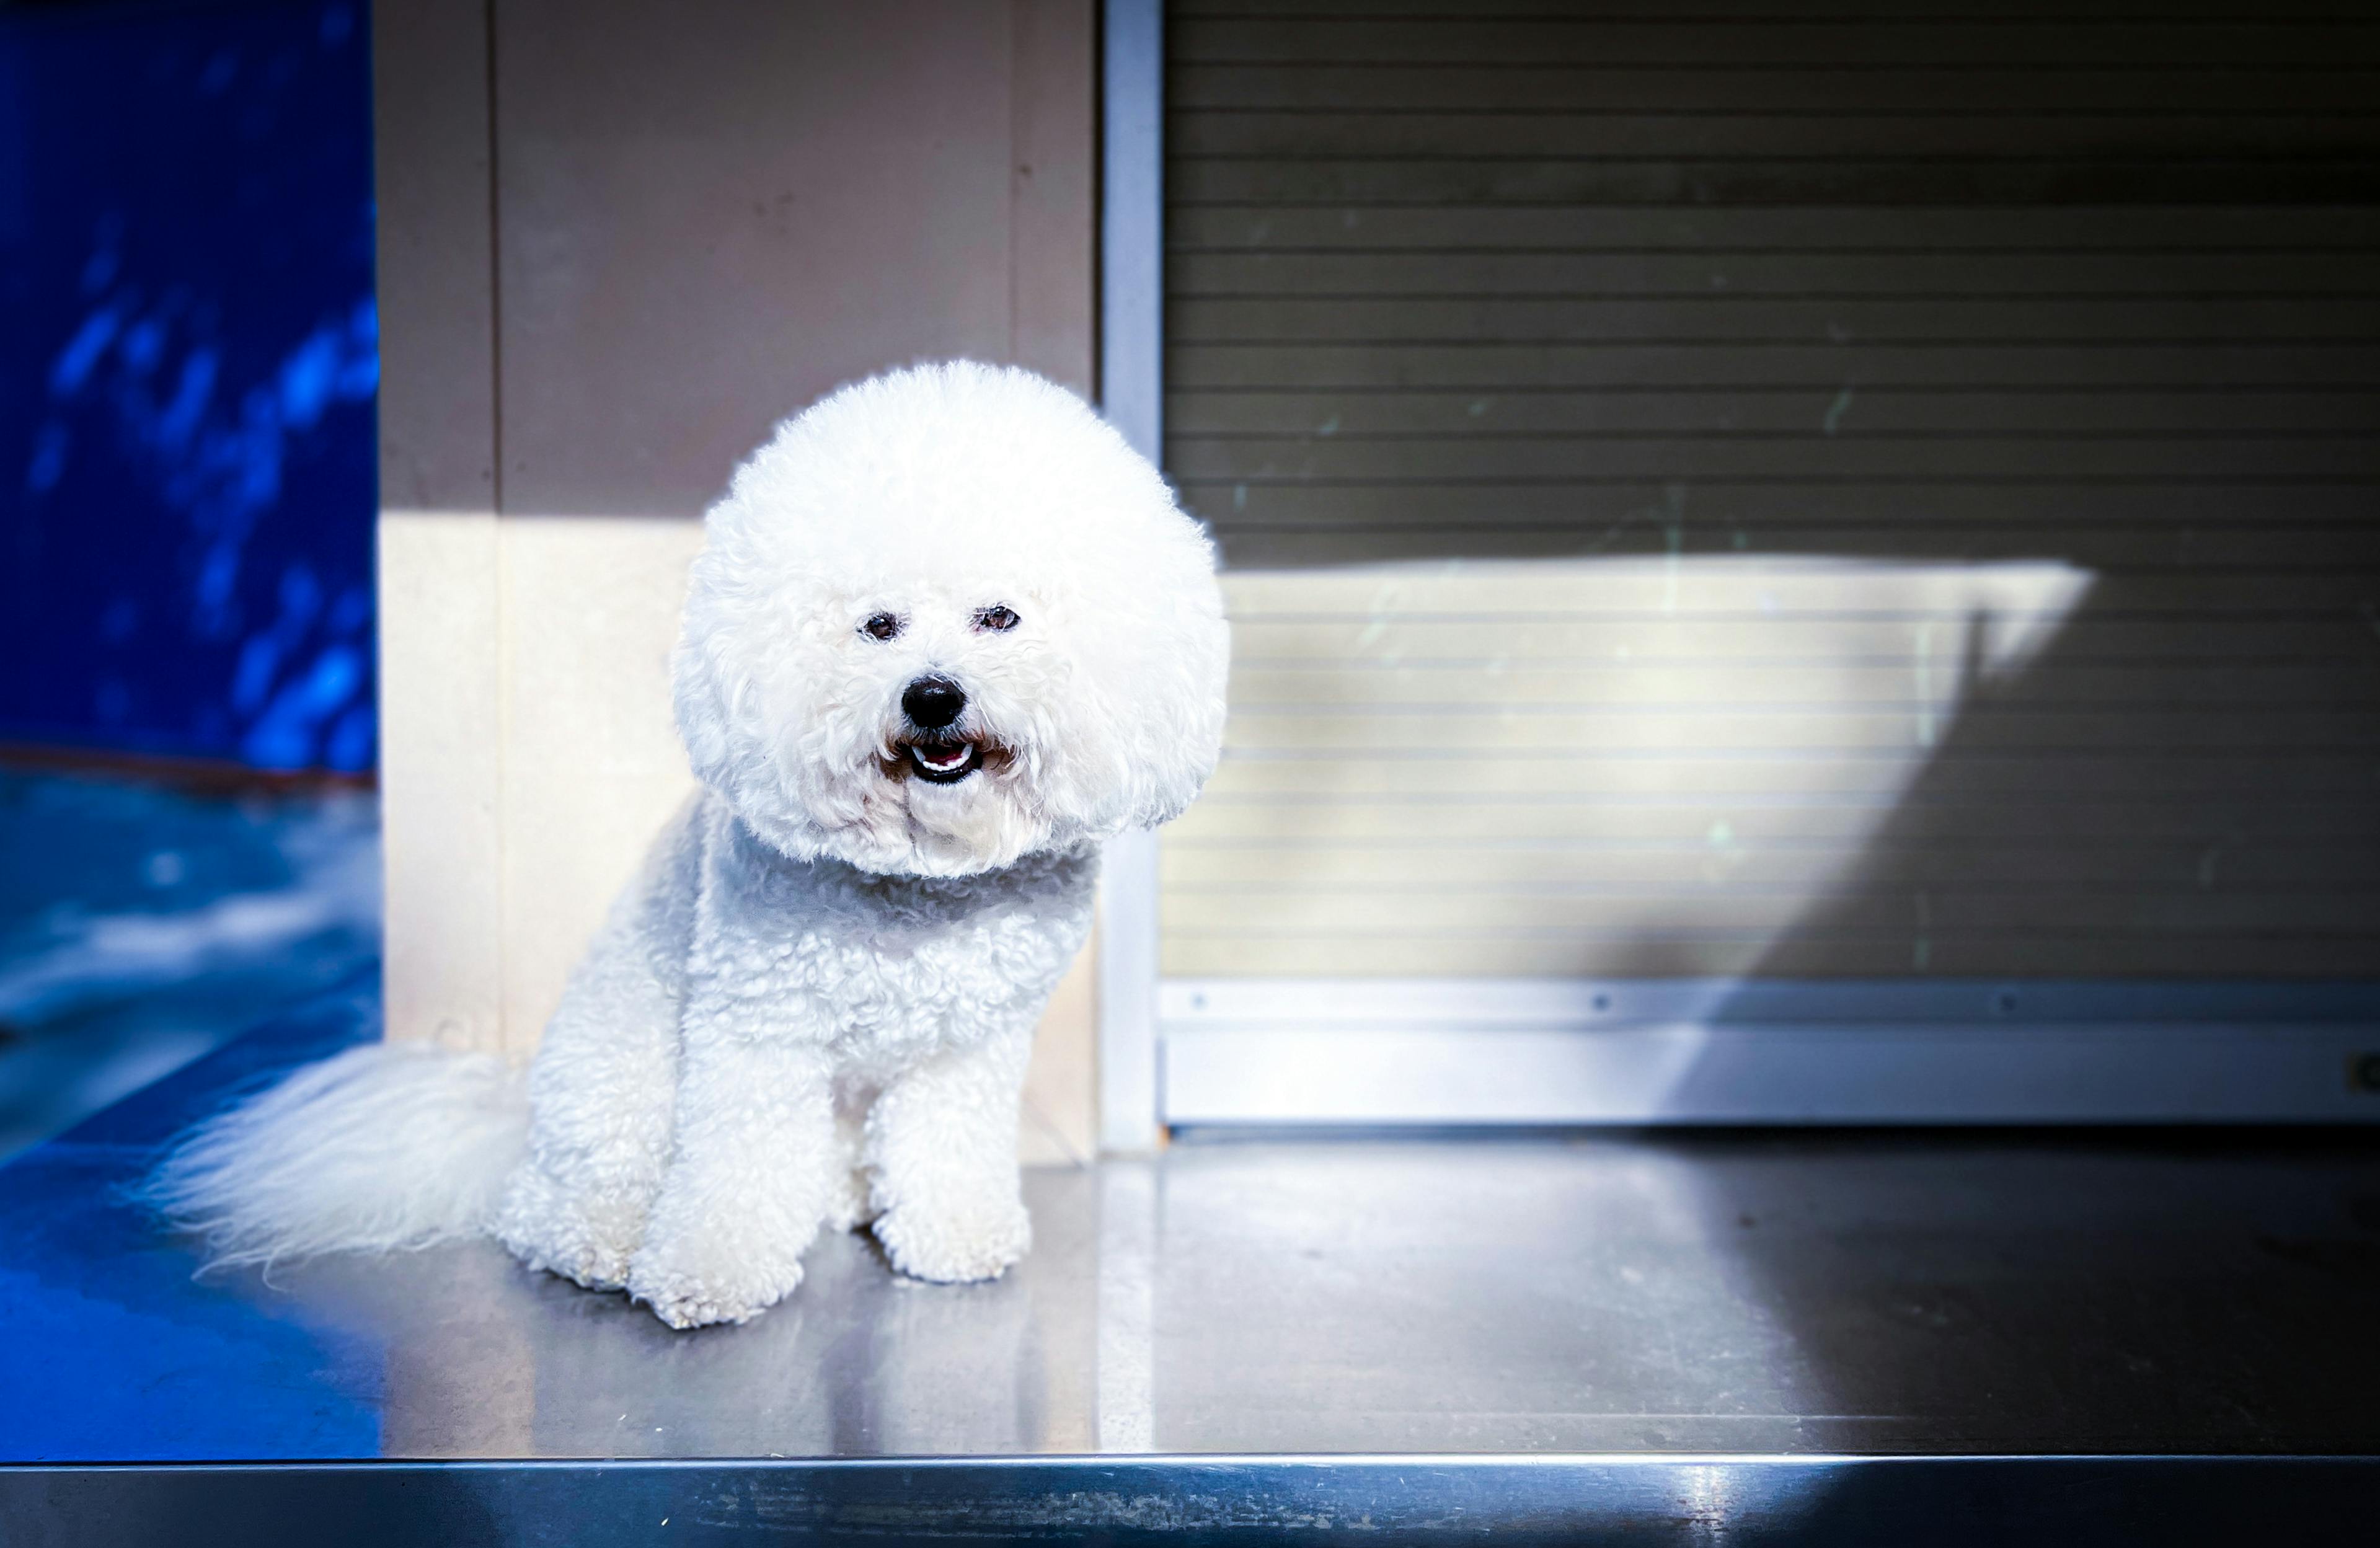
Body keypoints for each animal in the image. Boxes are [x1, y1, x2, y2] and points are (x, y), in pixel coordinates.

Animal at [153, 361, 1228, 1324]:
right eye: (876, 625)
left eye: (998, 616)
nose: (932, 696)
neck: (920, 882)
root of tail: (517, 1120)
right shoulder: (759, 1031)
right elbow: (735, 1166)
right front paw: (706, 1273)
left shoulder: (966, 1048)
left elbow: (946, 1147)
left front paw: (954, 1240)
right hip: (621, 1083)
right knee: (551, 1206)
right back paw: (607, 1240)